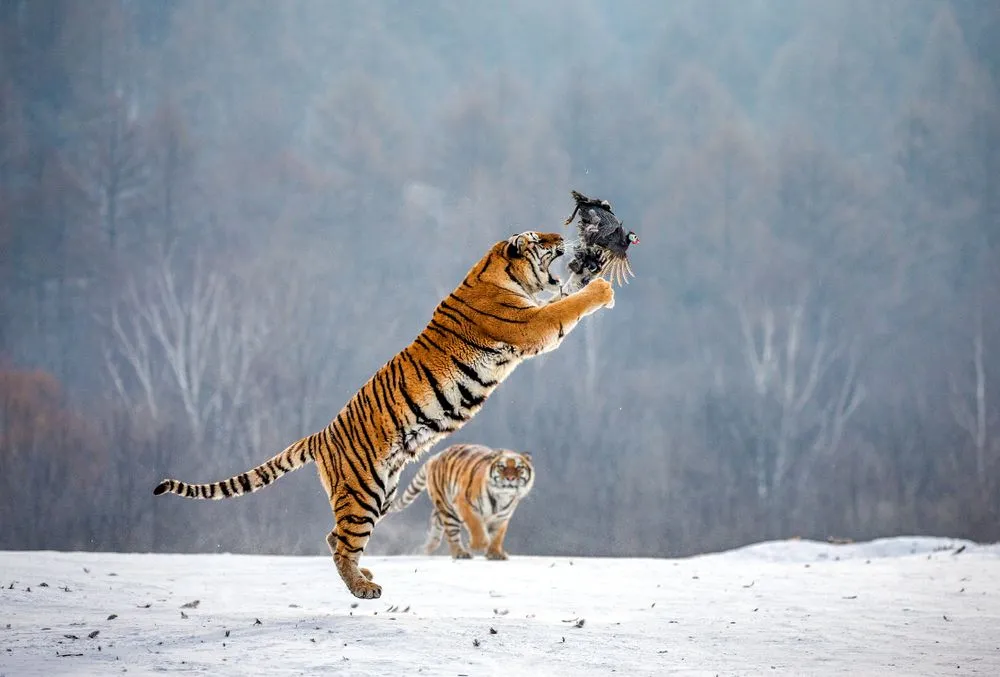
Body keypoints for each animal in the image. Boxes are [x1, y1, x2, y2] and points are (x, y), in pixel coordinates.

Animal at [390, 443, 534, 560]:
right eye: (501, 467)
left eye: (519, 467)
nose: (510, 478)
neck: (502, 497)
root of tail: (436, 457)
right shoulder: (464, 503)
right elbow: (477, 527)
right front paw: (476, 544)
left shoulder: (502, 517)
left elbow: (497, 536)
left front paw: (495, 554)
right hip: (448, 509)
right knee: (452, 534)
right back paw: (460, 553)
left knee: (436, 524)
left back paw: (426, 548)